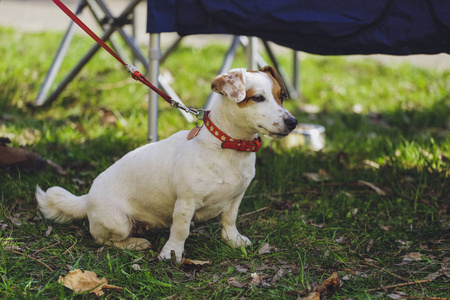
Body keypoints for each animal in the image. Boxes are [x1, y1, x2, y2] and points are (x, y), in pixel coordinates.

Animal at [36, 67, 298, 262]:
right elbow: (181, 230)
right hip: (118, 222)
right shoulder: (185, 203)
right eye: (258, 98)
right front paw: (172, 253)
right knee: (105, 240)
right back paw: (135, 243)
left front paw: (233, 240)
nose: (293, 122)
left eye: (282, 96)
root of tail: (86, 199)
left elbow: (229, 220)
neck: (228, 147)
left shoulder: (236, 198)